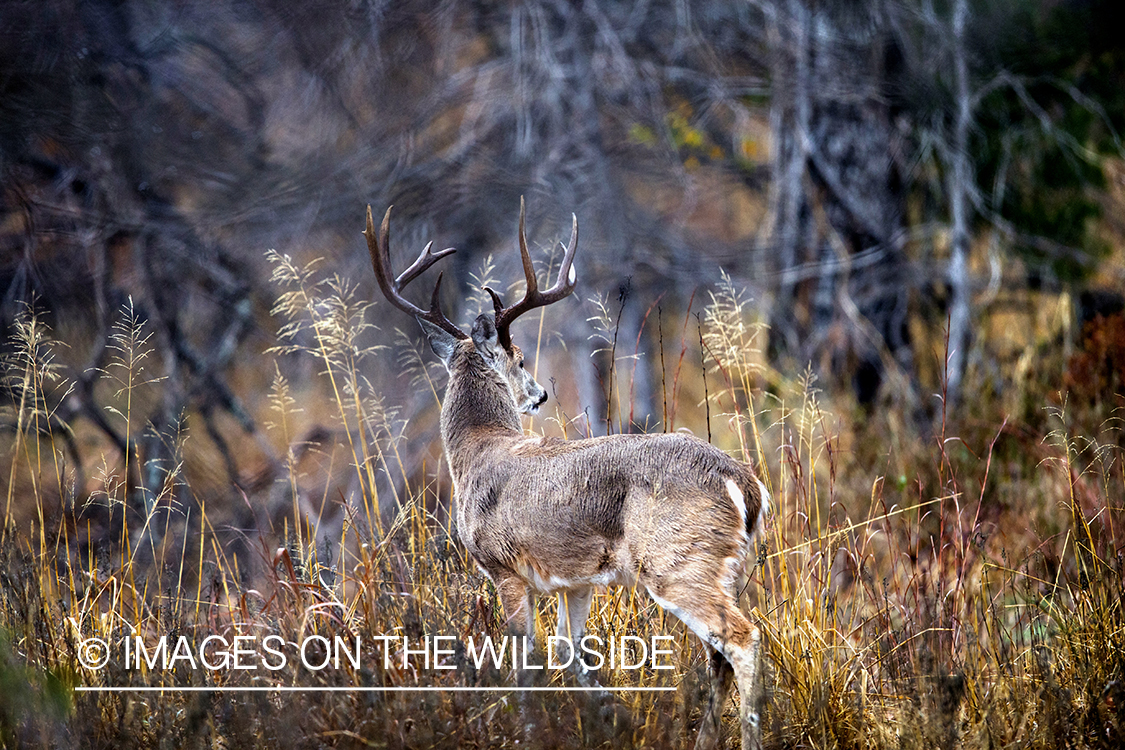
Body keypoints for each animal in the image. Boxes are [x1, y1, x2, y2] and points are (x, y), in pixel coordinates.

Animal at [364, 199, 769, 750]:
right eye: (519, 359)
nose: (539, 393)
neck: (477, 451)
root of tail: (745, 484)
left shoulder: (504, 566)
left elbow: (526, 660)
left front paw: (530, 732)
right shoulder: (574, 579)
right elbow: (573, 655)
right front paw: (612, 719)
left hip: (677, 559)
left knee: (742, 640)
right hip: (728, 566)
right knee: (719, 654)